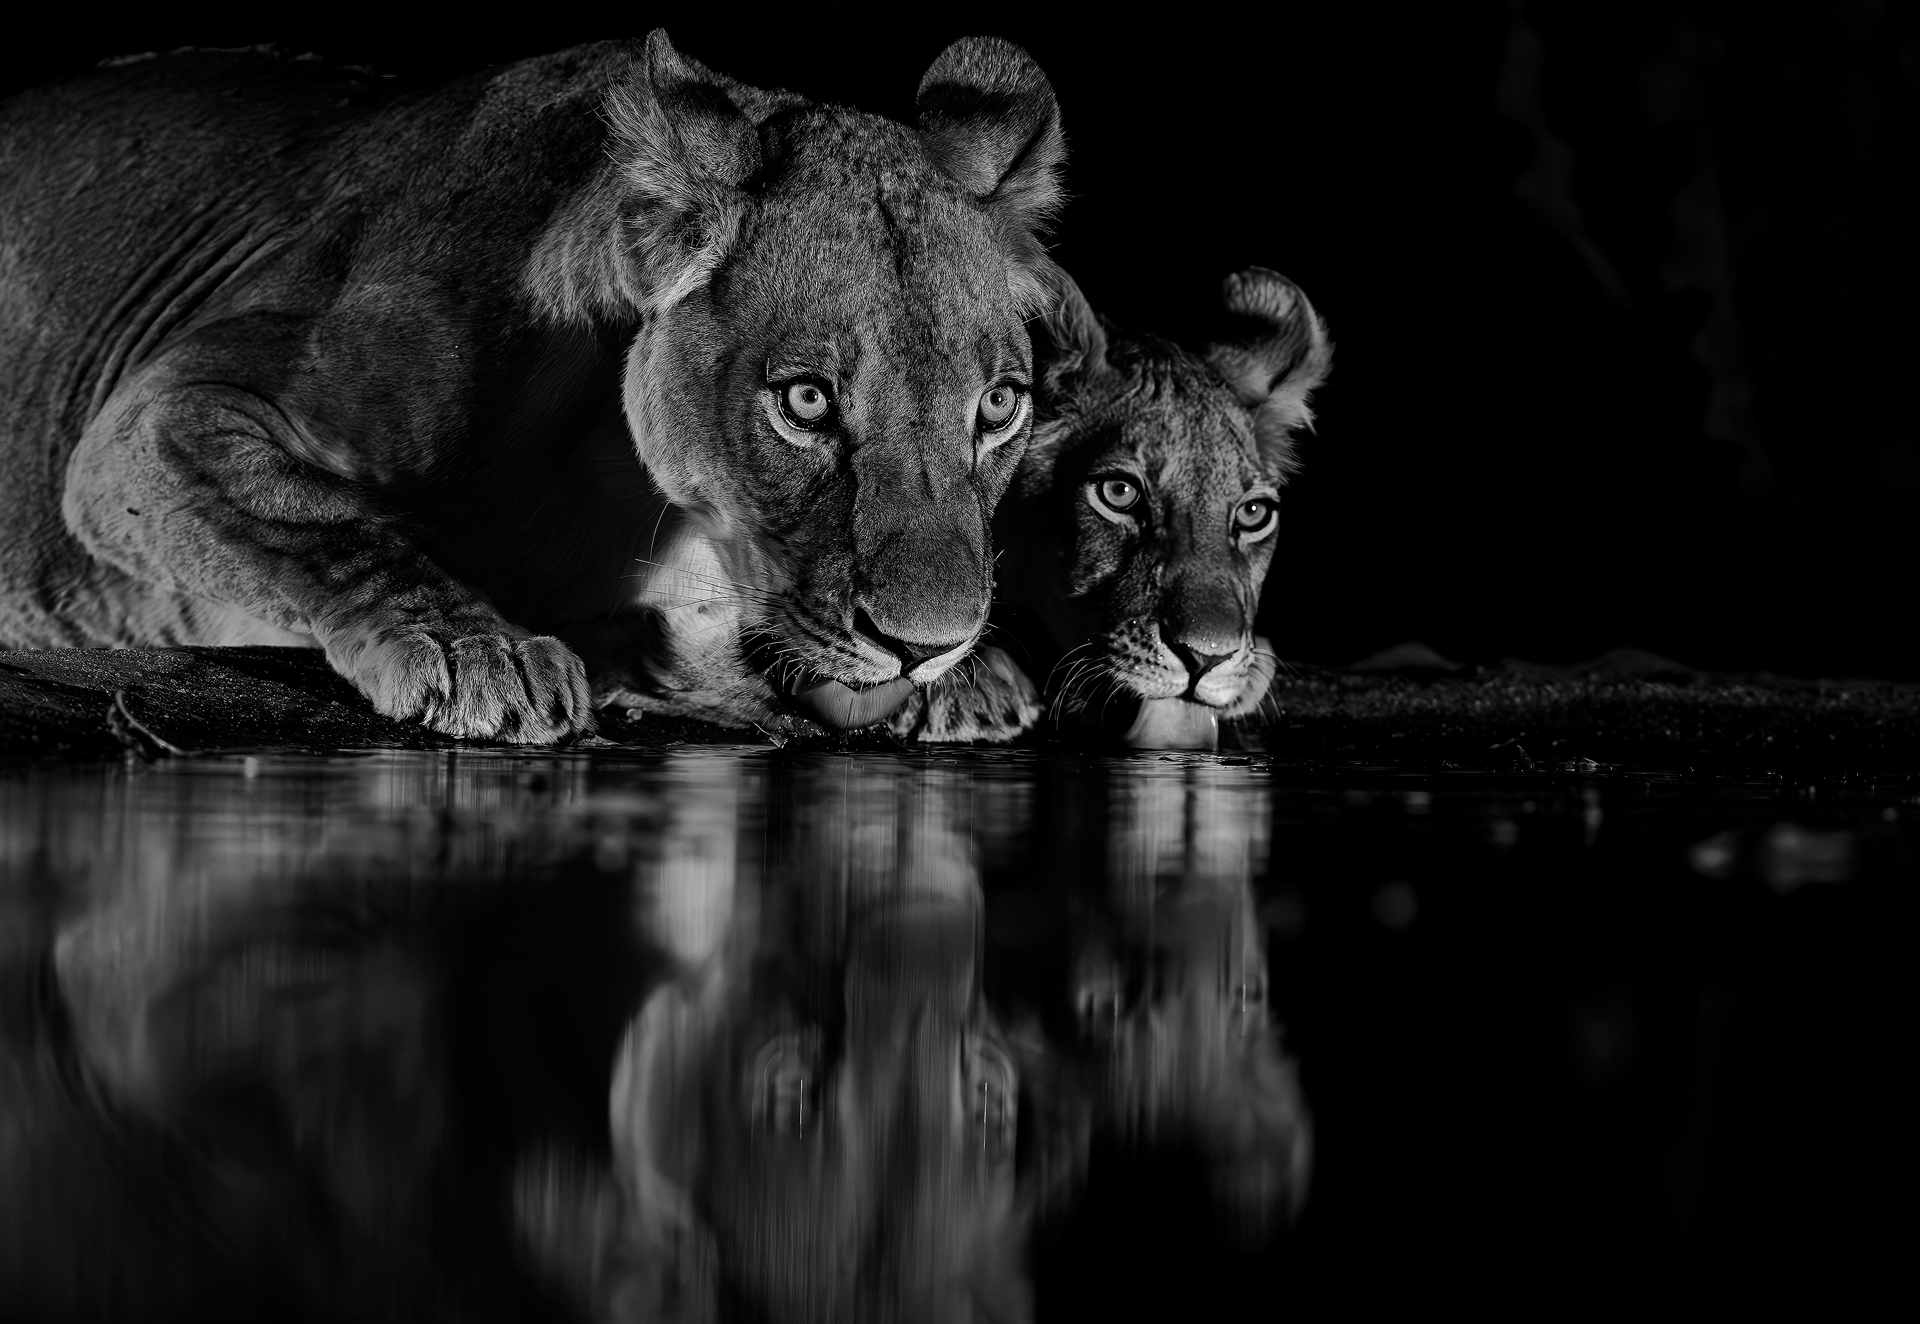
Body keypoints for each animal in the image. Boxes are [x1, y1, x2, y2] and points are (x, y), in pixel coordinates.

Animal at [0, 33, 1064, 742]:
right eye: (805, 401)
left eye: (998, 406)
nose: (926, 646)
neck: (602, 483)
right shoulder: (160, 412)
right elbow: (326, 525)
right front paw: (479, 653)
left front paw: (968, 680)